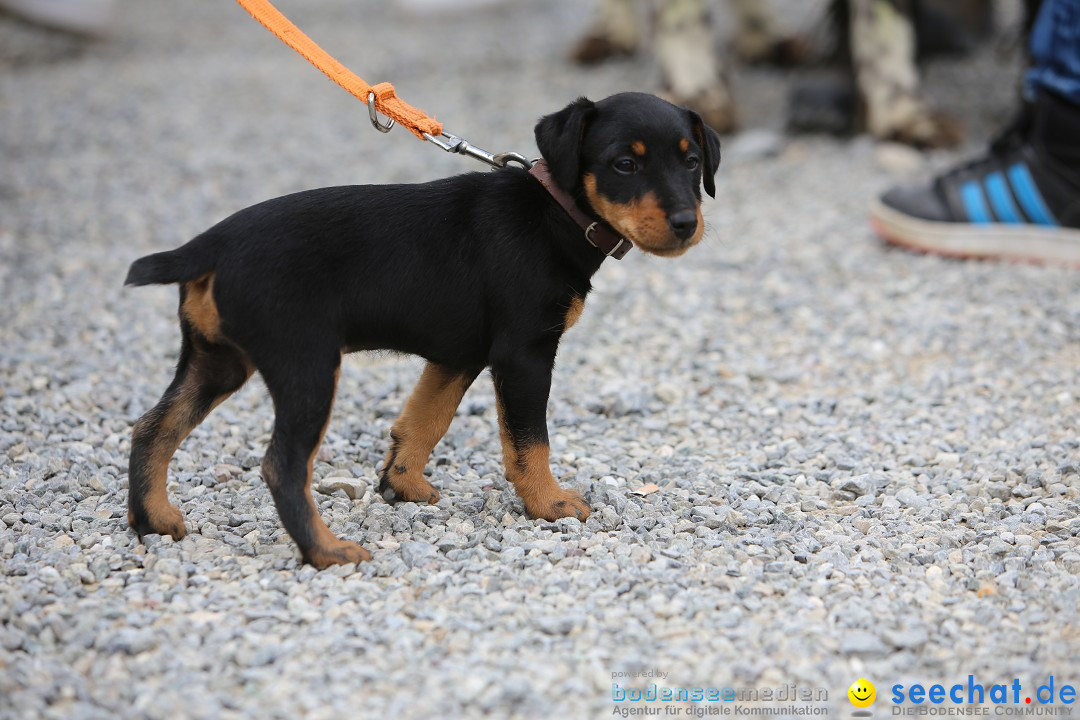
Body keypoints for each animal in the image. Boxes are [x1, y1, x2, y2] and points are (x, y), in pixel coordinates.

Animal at [124, 92, 717, 569]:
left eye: (692, 161)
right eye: (624, 164)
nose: (687, 223)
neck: (554, 211)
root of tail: (210, 244)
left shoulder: (458, 355)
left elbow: (424, 421)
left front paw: (401, 484)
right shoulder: (523, 353)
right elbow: (529, 441)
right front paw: (549, 505)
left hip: (217, 361)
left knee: (153, 428)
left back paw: (153, 520)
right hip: (306, 365)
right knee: (281, 466)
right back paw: (326, 551)